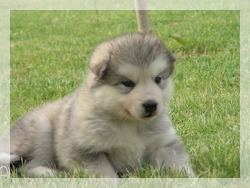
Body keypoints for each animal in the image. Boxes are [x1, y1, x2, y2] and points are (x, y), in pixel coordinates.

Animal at [0, 32, 194, 178]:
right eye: (127, 83)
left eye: (158, 79)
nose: (151, 105)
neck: (129, 123)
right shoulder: (86, 150)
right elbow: (105, 173)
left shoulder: (164, 143)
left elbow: (179, 165)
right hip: (41, 129)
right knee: (27, 166)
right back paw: (50, 173)